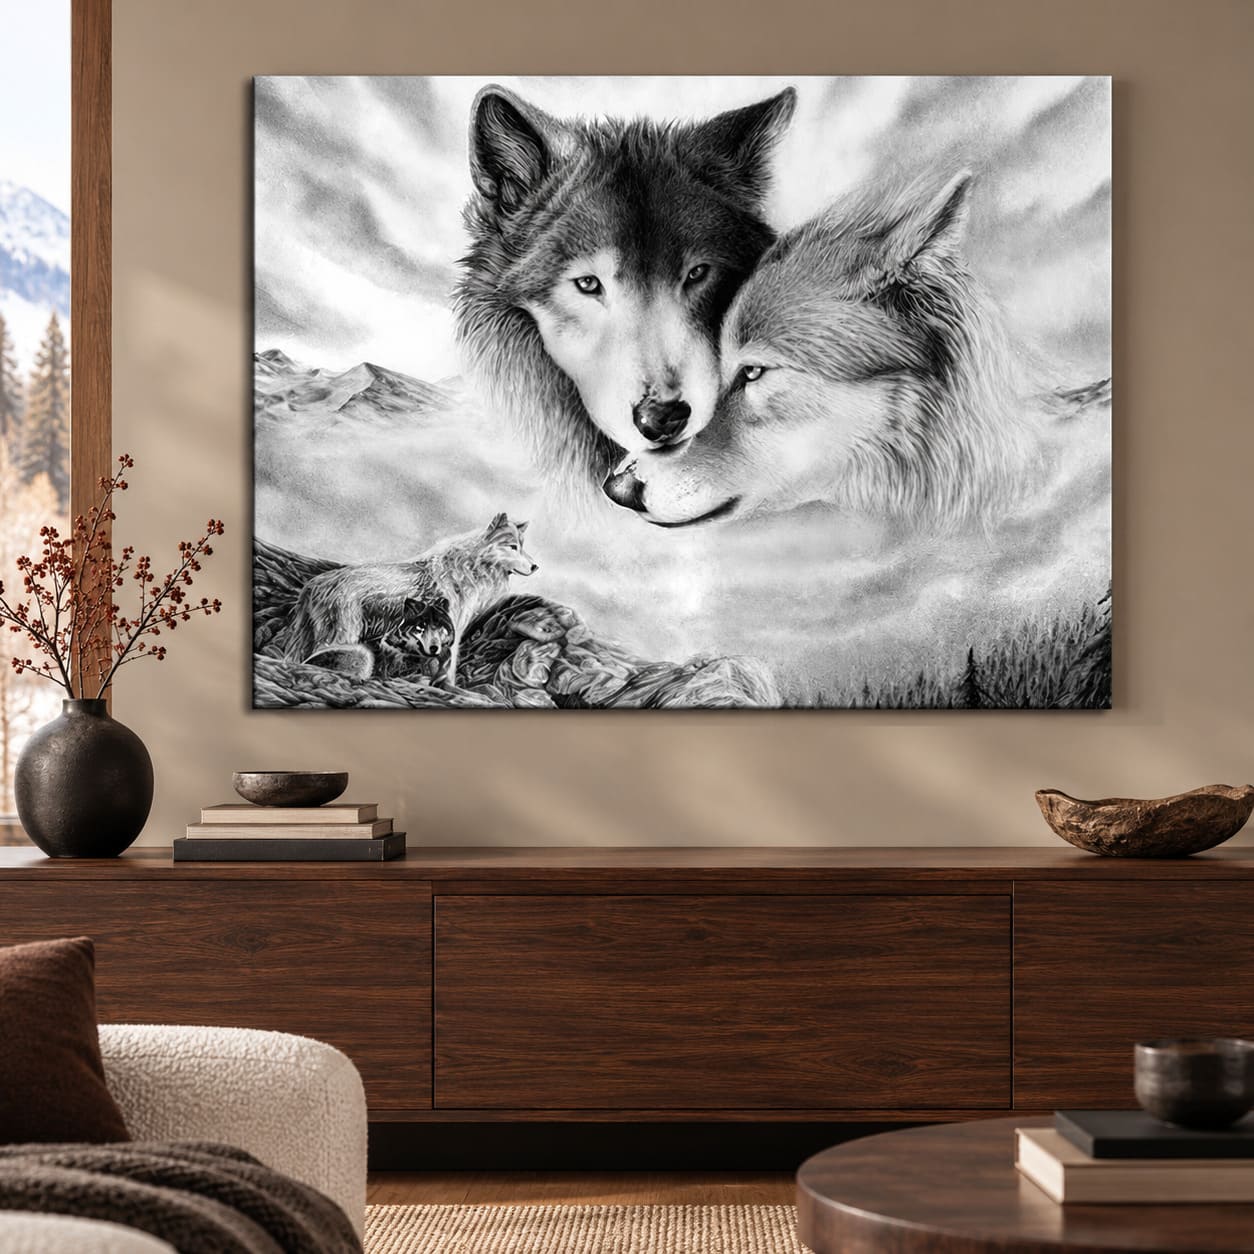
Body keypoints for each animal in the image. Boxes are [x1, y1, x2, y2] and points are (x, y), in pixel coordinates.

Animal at [285, 513, 537, 686]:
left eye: (522, 547)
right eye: (513, 547)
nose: (536, 566)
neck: (469, 567)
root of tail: (313, 584)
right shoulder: (450, 629)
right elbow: (448, 666)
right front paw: (446, 687)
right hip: (343, 634)